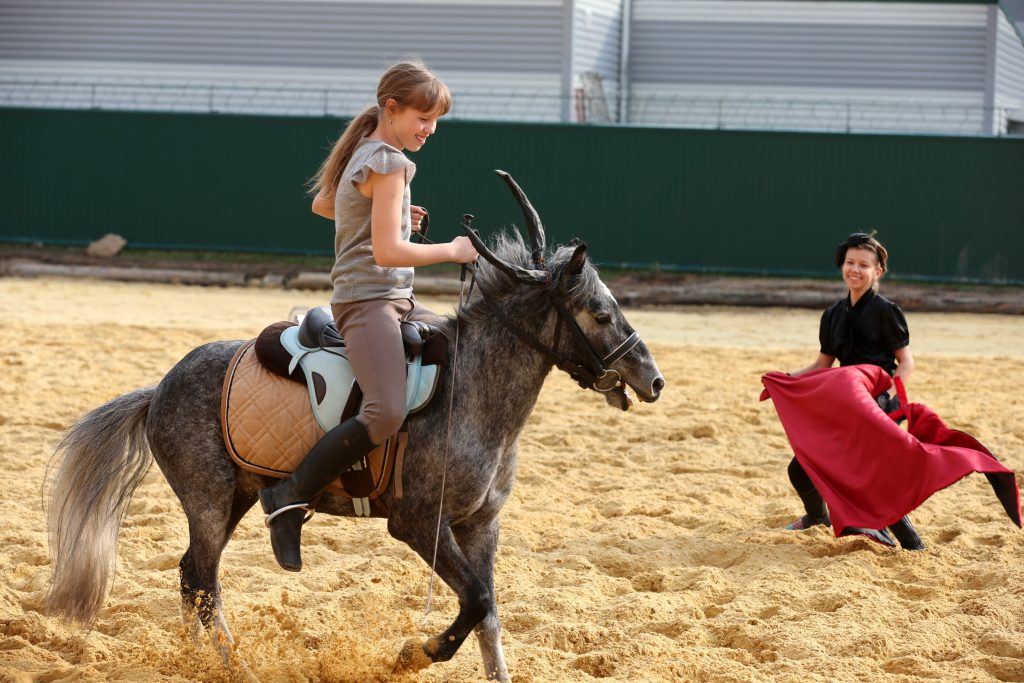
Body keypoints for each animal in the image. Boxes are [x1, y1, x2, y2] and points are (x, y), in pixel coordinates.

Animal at [46, 171, 663, 679]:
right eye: (600, 313)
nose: (653, 379)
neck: (472, 395)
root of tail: (158, 390)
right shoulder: (418, 523)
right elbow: (476, 602)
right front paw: (413, 654)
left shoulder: (480, 525)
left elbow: (488, 610)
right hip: (207, 499)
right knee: (203, 580)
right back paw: (233, 663)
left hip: (239, 494)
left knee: (190, 577)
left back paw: (199, 658)